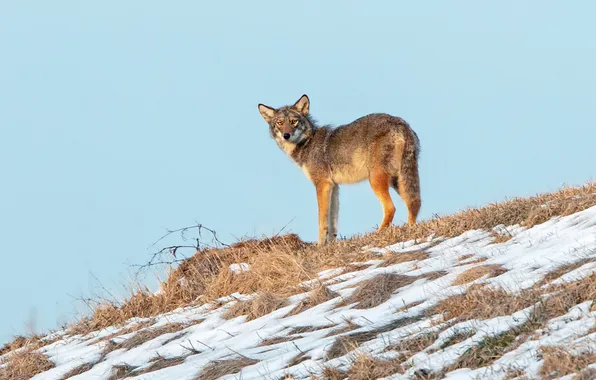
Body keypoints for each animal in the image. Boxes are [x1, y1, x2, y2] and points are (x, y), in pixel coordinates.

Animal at [258, 93, 422, 245]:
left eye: (293, 121)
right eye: (280, 123)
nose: (286, 135)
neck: (307, 143)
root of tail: (400, 123)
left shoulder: (322, 184)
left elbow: (322, 221)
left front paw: (319, 246)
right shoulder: (334, 186)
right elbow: (333, 222)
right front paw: (330, 244)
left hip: (376, 180)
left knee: (391, 208)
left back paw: (378, 234)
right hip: (398, 180)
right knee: (414, 202)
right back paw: (410, 229)